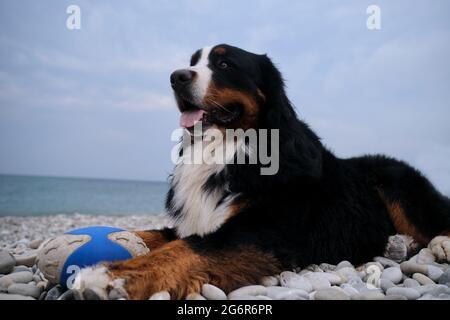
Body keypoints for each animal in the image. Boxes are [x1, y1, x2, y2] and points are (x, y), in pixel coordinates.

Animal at [74, 43, 450, 298]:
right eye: (193, 62)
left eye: (225, 63)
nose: (176, 77)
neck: (225, 149)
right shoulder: (195, 221)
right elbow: (153, 235)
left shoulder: (262, 230)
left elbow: (187, 249)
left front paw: (106, 278)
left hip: (396, 181)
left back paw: (439, 244)